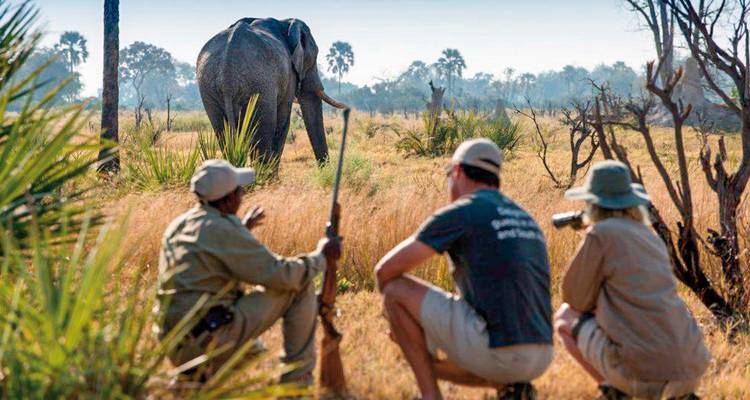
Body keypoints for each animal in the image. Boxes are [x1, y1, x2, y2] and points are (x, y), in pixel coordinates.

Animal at [196, 17, 347, 164]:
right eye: (313, 58)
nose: (324, 170)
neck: (285, 22)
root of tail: (227, 70)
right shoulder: (289, 74)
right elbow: (283, 122)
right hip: (261, 86)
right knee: (264, 131)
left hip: (209, 89)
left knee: (222, 131)